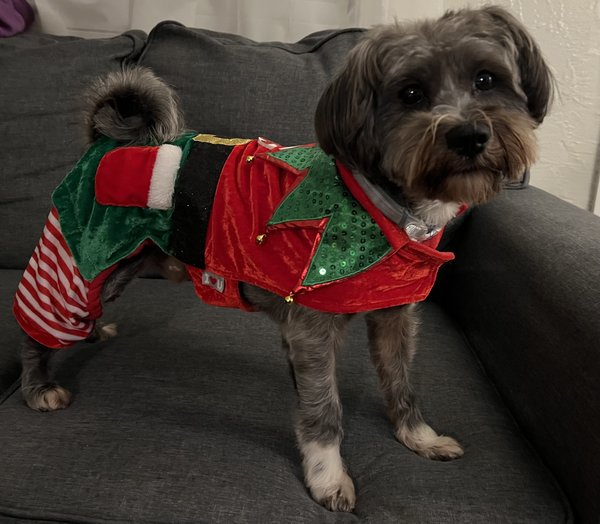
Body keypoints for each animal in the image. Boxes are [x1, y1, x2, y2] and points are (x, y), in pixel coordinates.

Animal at [15, 6, 551, 512]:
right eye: (411, 93)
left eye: (486, 79)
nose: (470, 136)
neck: (385, 208)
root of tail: (105, 140)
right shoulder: (312, 330)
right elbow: (324, 410)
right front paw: (328, 475)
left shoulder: (394, 316)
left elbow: (400, 382)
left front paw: (417, 436)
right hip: (78, 259)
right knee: (37, 327)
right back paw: (38, 386)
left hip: (124, 265)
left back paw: (93, 332)